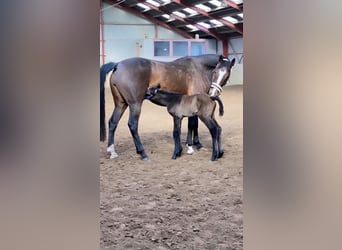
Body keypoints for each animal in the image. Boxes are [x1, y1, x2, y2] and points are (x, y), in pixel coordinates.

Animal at [99, 54, 235, 160]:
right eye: (216, 71)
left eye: (227, 74)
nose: (213, 93)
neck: (198, 68)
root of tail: (118, 64)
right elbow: (192, 124)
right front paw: (191, 146)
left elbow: (193, 124)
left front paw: (195, 144)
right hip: (135, 104)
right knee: (133, 125)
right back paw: (143, 153)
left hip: (121, 104)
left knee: (113, 122)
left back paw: (112, 151)